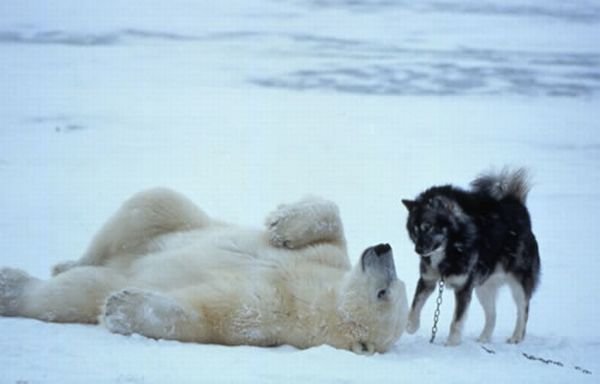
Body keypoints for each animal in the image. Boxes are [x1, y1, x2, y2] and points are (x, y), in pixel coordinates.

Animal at [0, 188, 408, 354]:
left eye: (384, 292)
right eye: (395, 283)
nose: (384, 249)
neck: (318, 296)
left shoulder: (271, 312)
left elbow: (208, 313)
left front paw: (122, 307)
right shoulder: (328, 260)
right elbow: (331, 222)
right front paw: (282, 222)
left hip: (111, 274)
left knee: (74, 292)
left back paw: (11, 286)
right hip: (165, 223)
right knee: (152, 204)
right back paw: (66, 262)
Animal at [400, 168, 540, 344]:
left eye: (428, 227)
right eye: (415, 230)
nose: (418, 250)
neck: (450, 249)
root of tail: (517, 205)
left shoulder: (463, 288)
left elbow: (456, 322)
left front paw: (451, 344)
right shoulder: (427, 280)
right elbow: (415, 306)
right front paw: (410, 326)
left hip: (518, 284)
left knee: (523, 310)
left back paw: (516, 337)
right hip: (483, 287)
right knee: (492, 315)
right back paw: (483, 339)